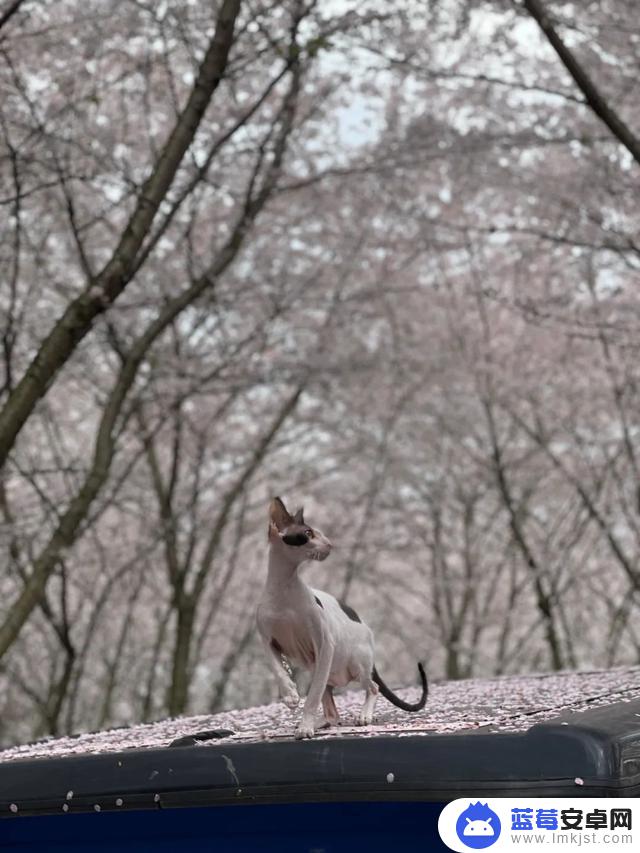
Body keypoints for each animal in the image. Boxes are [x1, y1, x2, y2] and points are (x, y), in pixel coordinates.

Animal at [254, 496, 424, 736]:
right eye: (308, 533)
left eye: (318, 533)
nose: (330, 544)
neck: (284, 588)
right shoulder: (268, 641)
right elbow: (277, 669)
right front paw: (289, 695)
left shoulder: (324, 643)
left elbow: (313, 696)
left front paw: (305, 726)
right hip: (318, 665)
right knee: (332, 713)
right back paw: (322, 722)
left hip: (355, 662)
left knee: (373, 687)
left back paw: (364, 716)